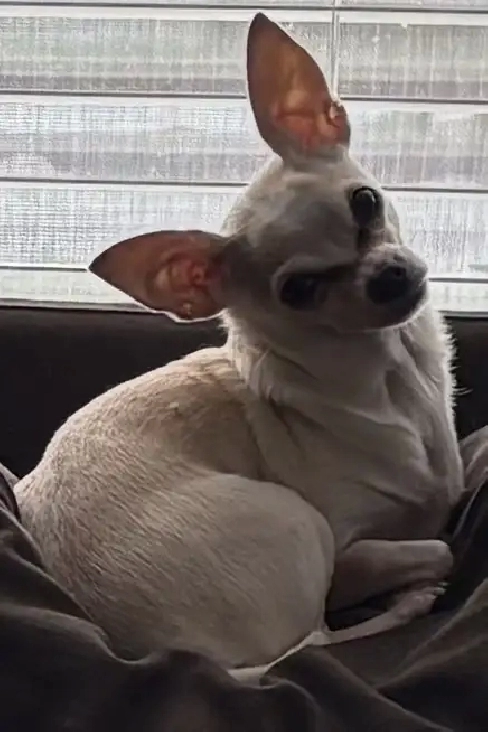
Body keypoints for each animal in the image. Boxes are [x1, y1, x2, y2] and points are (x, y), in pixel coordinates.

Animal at [15, 14, 465, 676]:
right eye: (299, 290)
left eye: (365, 201)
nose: (387, 278)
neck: (392, 377)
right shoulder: (349, 551)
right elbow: (436, 545)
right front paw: (412, 583)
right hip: (302, 530)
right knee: (315, 641)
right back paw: (408, 603)